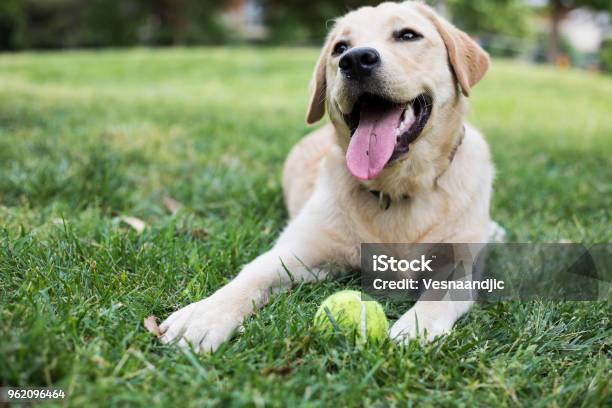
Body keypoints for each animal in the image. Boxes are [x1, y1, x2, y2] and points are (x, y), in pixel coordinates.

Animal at [160, 0, 500, 350]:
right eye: (340, 48)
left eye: (408, 35)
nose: (356, 60)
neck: (395, 189)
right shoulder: (301, 251)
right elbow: (253, 274)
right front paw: (205, 315)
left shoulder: (460, 266)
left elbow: (440, 296)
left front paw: (416, 326)